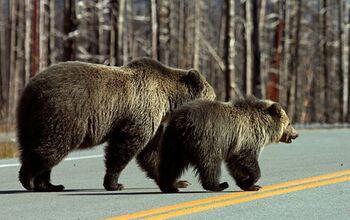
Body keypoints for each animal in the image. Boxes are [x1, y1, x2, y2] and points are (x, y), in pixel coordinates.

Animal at [17, 57, 216, 192]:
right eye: (213, 97)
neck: (168, 101)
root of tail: (31, 88)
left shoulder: (154, 120)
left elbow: (152, 152)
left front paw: (179, 182)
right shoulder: (142, 111)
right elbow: (125, 146)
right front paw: (115, 183)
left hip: (29, 120)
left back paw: (49, 184)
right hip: (64, 113)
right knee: (53, 146)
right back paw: (28, 179)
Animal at [157, 98, 300, 192]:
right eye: (289, 123)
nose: (296, 134)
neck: (264, 127)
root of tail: (183, 120)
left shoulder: (235, 145)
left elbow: (235, 165)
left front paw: (247, 184)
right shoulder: (247, 139)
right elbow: (247, 160)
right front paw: (252, 182)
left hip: (174, 142)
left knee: (170, 164)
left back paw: (169, 186)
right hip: (207, 140)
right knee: (210, 164)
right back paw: (219, 185)